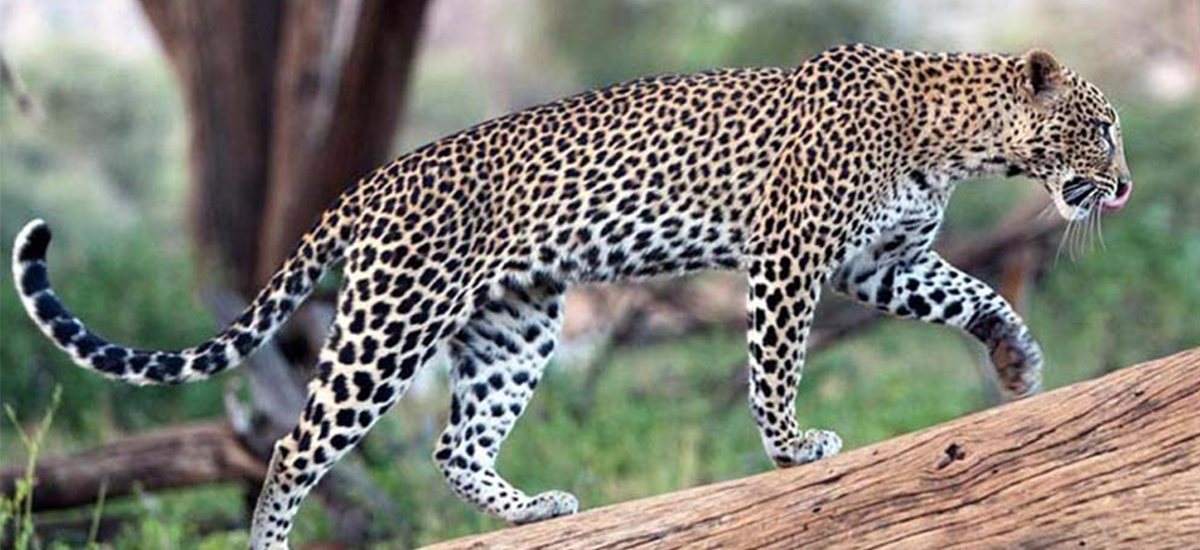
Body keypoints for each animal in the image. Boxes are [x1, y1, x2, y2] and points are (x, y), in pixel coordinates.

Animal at [12, 44, 1132, 549]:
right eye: (1102, 125)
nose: (1123, 186)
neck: (957, 136)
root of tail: (372, 181)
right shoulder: (792, 255)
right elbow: (773, 364)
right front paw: (791, 449)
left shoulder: (878, 263)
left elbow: (972, 289)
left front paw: (1017, 358)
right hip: (394, 316)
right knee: (295, 444)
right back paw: (273, 542)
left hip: (514, 324)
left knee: (453, 444)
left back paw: (532, 508)